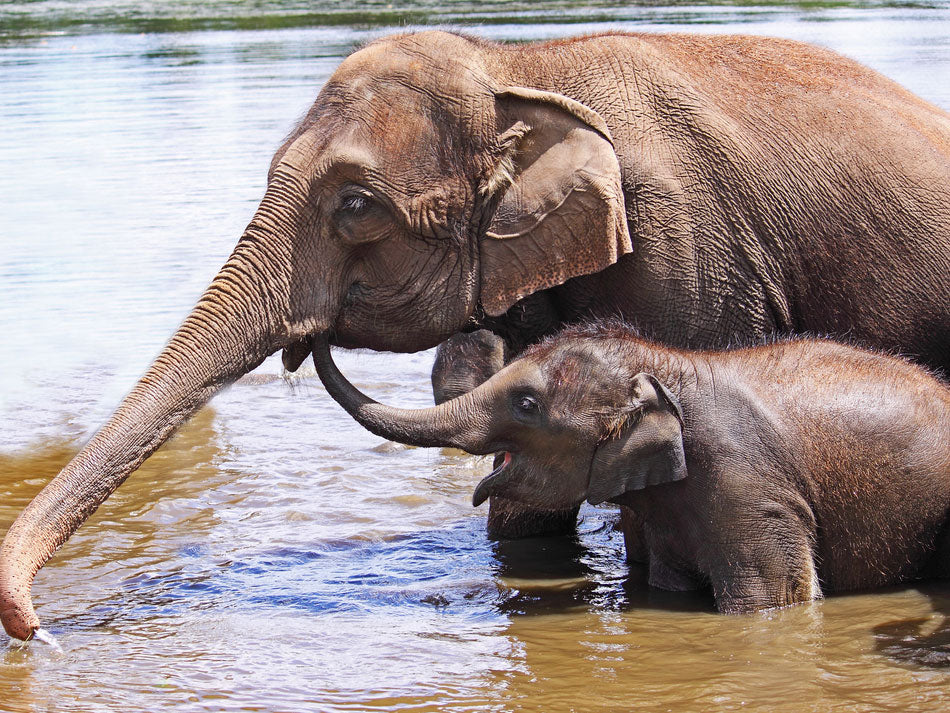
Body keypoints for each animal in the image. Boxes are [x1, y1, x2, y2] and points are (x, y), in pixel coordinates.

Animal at [316, 326, 950, 612]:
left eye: (527, 404)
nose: (316, 335)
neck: (667, 362)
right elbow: (672, 585)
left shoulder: (749, 491)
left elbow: (771, 603)